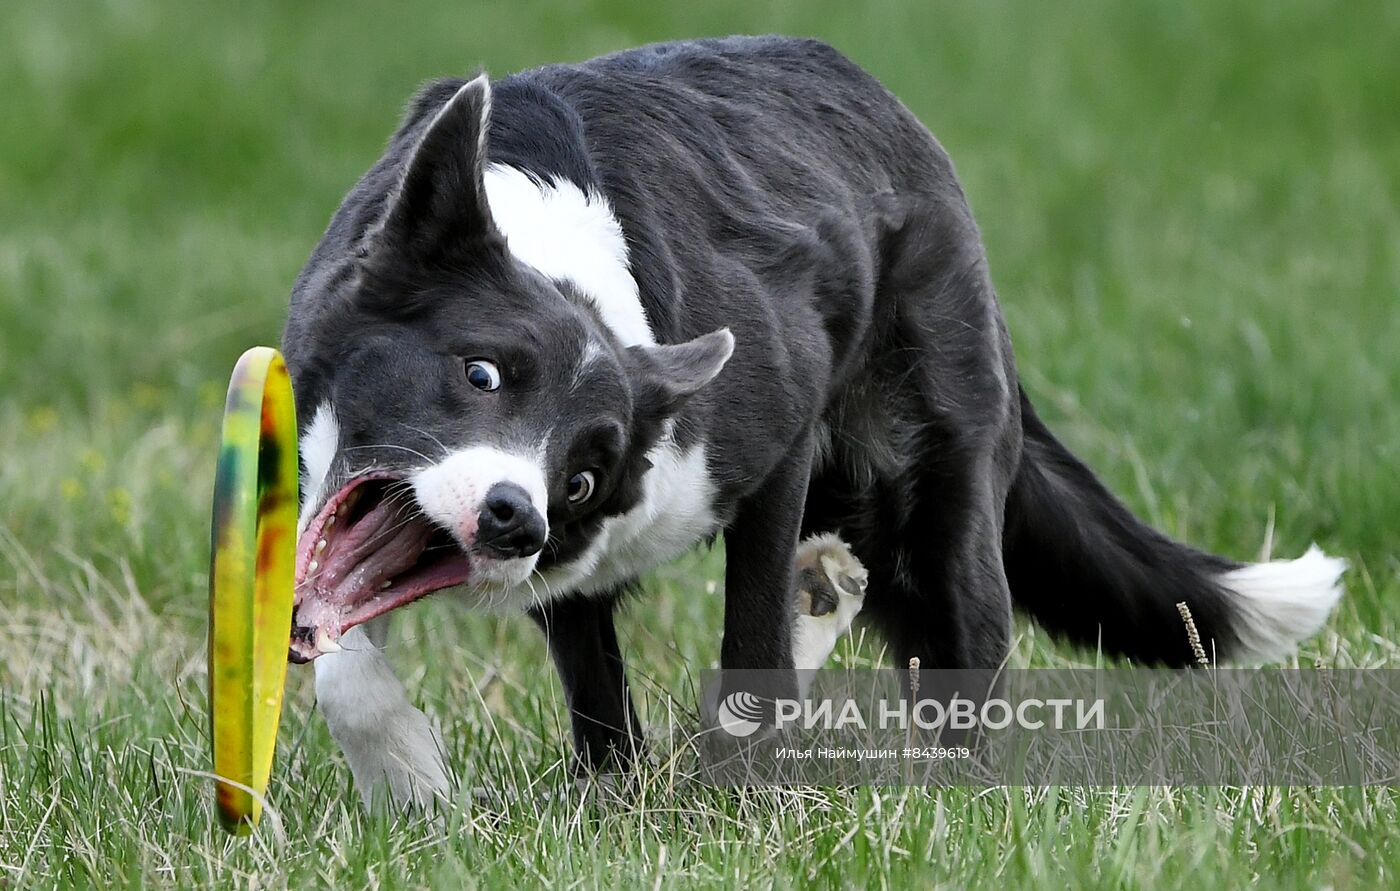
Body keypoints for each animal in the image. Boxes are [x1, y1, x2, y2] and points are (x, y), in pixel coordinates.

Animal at [281, 38, 1344, 812]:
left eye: (581, 475)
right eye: (482, 371)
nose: (518, 518)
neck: (571, 268)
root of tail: (897, 117)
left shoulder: (774, 448)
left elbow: (751, 638)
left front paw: (745, 795)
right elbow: (354, 650)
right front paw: (426, 786)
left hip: (937, 488)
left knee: (966, 633)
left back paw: (952, 794)